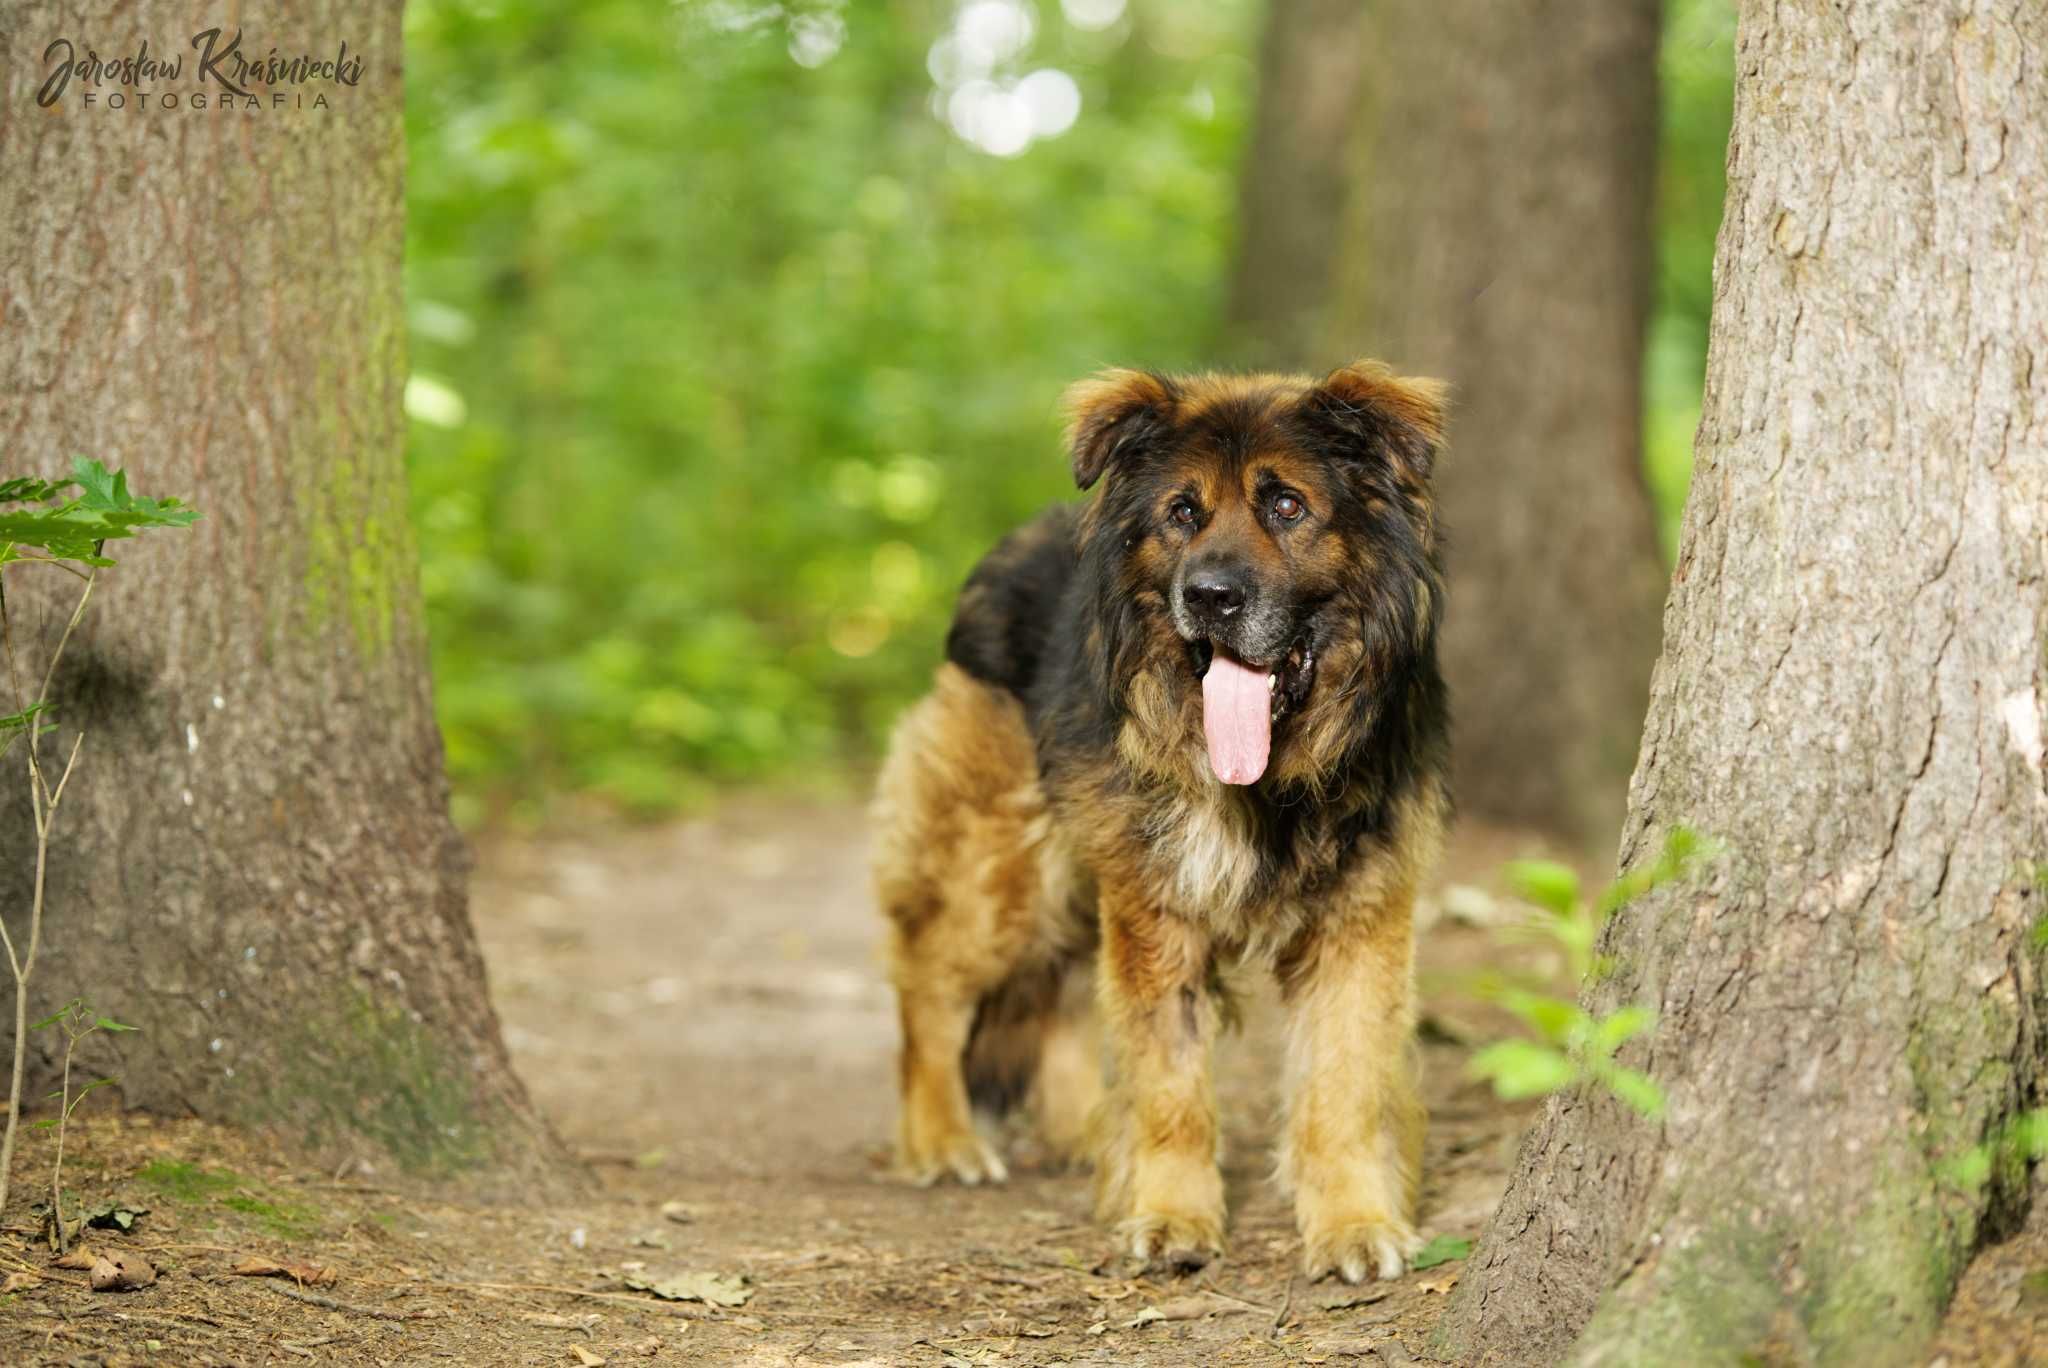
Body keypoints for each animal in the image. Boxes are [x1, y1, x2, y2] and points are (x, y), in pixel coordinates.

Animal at [872, 360, 1449, 1286]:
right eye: (1183, 513)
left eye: (1287, 505)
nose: (1209, 597)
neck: (1269, 776)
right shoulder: (1160, 908)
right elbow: (1172, 1082)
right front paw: (1173, 1215)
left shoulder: (1359, 920)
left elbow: (1345, 1083)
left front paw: (1353, 1223)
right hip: (1004, 869)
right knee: (926, 984)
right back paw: (943, 1137)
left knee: (1065, 994)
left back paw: (1079, 1131)